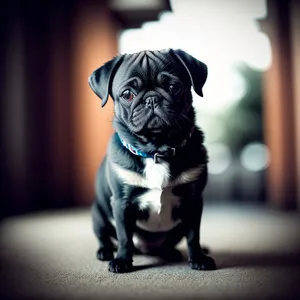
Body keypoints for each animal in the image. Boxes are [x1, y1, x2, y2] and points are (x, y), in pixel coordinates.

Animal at [88, 48, 216, 274]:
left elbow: (194, 235)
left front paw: (199, 258)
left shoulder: (193, 202)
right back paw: (105, 252)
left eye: (174, 87)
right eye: (127, 94)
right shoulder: (122, 203)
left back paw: (172, 253)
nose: (152, 99)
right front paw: (122, 261)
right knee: (105, 236)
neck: (156, 150)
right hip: (98, 214)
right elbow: (124, 237)